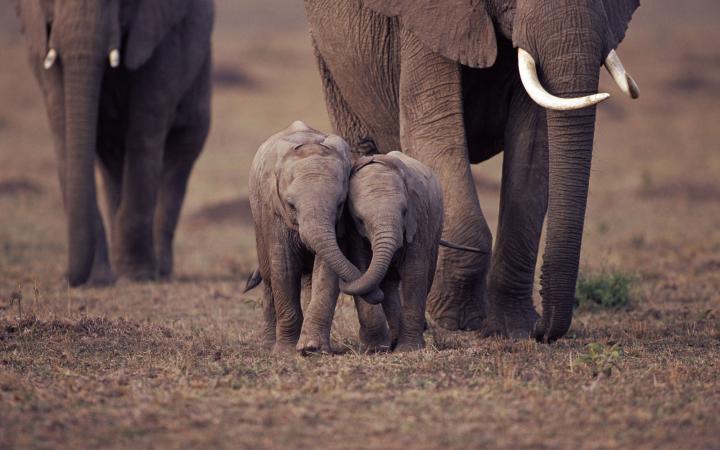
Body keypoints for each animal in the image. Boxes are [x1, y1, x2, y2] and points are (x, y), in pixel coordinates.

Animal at [14, 0, 214, 286]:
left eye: (116, 2)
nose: (67, 278)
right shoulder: (40, 39)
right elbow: (64, 134)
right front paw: (98, 278)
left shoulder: (160, 38)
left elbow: (144, 133)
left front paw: (137, 276)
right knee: (111, 159)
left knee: (182, 151)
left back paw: (160, 270)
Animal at [300, 0, 640, 342]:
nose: (542, 331)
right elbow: (436, 131)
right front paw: (457, 319)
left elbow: (534, 145)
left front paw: (513, 327)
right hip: (330, 60)